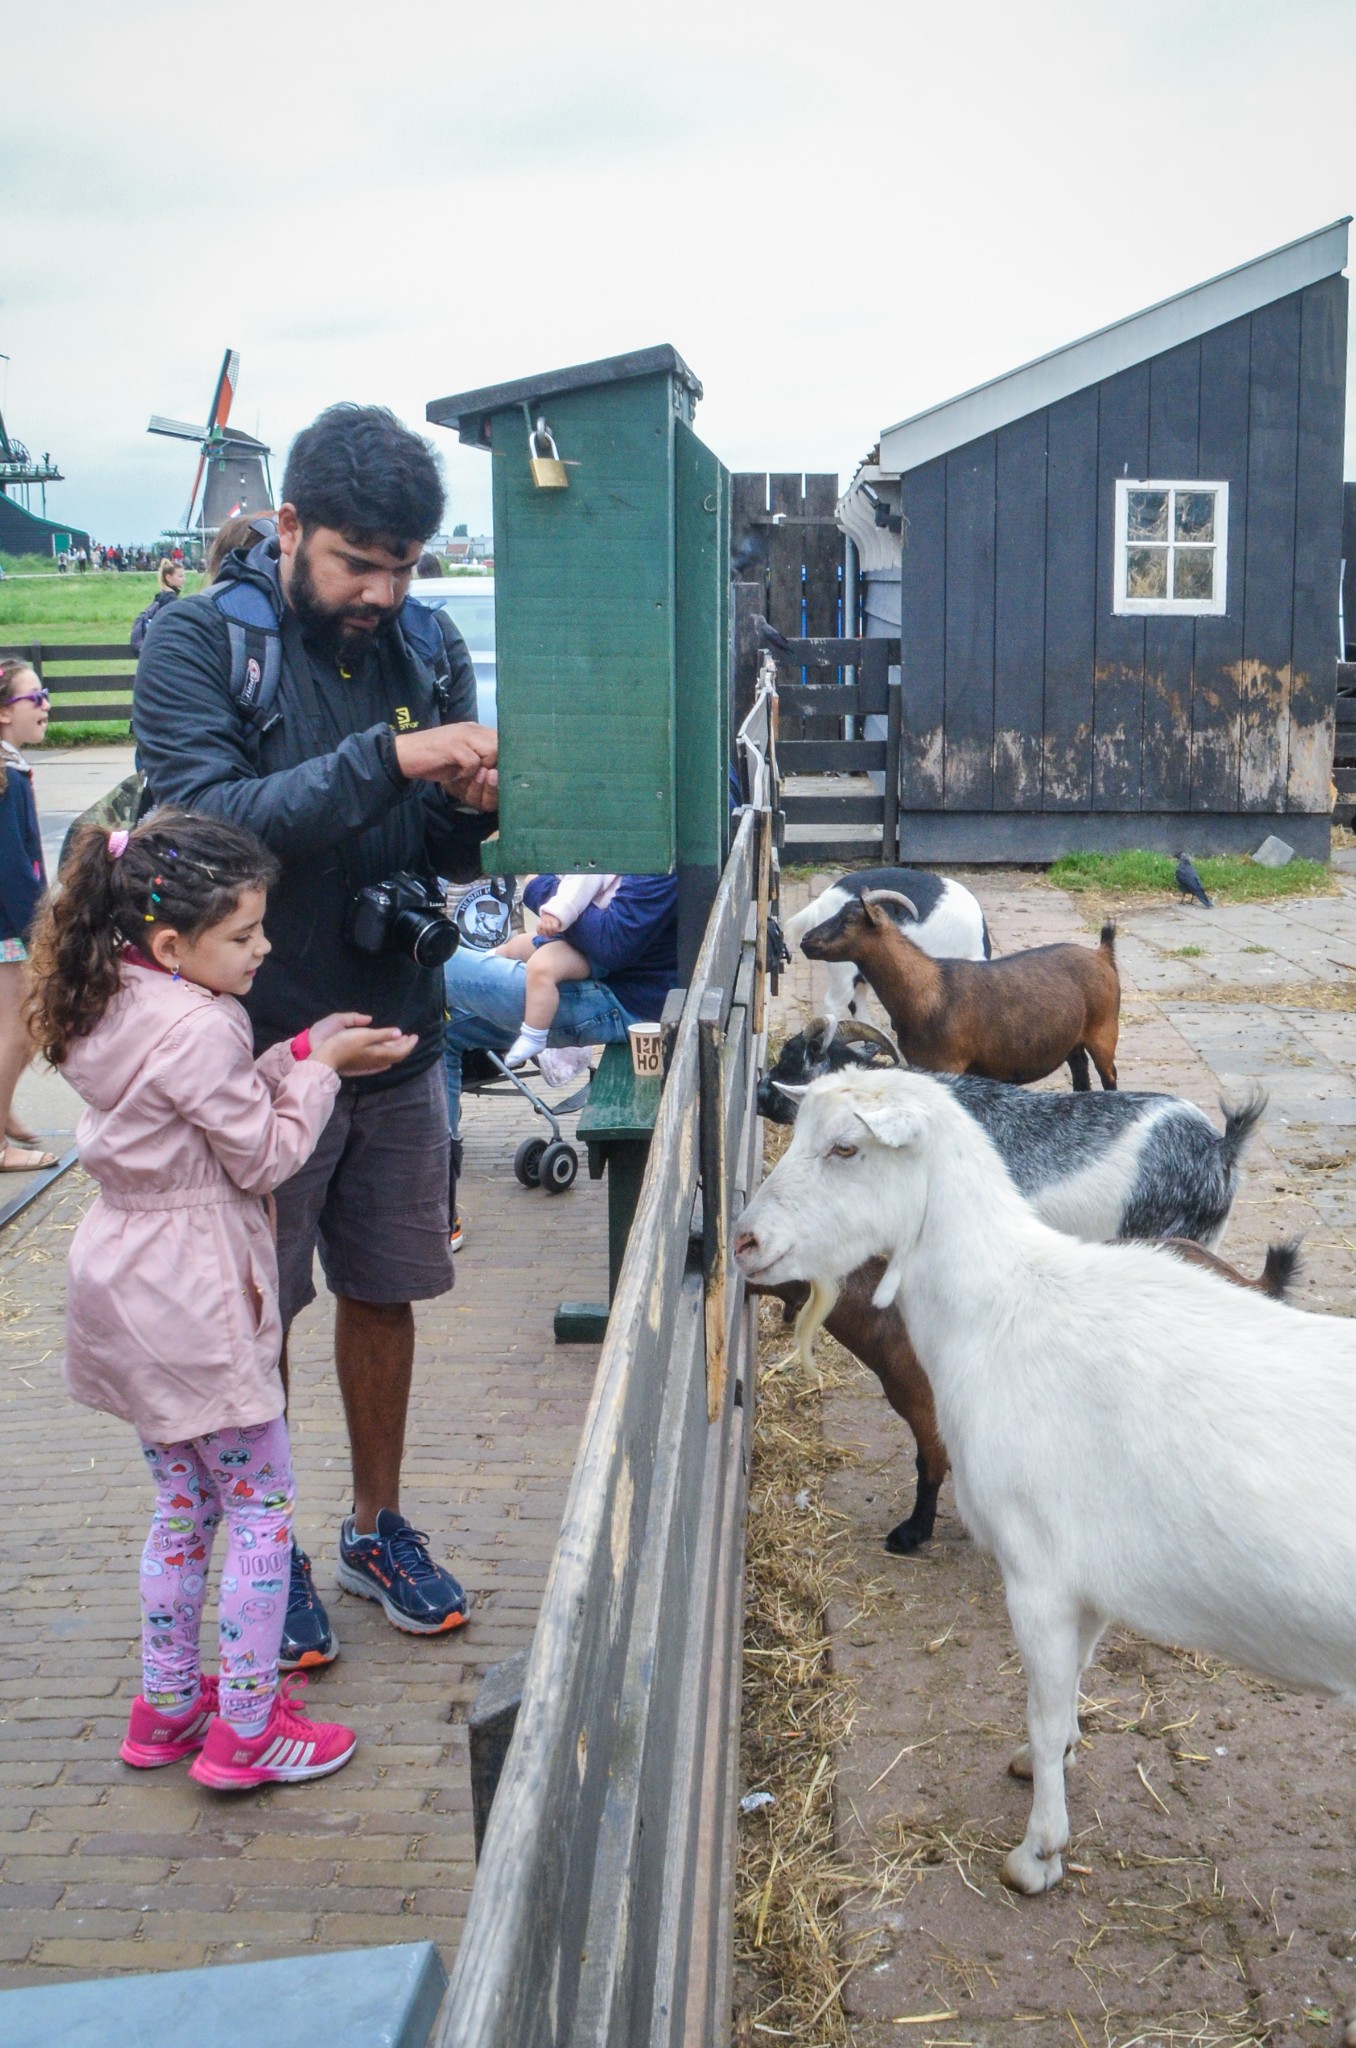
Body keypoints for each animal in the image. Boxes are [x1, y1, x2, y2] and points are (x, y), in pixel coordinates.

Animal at [737, 1064, 1356, 1892]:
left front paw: (1037, 1854)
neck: (1006, 1305)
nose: (744, 1240)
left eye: (845, 1148)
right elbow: (1064, 1703)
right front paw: (1045, 1763)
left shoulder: (1037, 1576)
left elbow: (1039, 1705)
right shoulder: (1087, 1580)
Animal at [802, 892, 1122, 1089]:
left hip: (1104, 1032)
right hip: (1074, 1041)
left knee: (1109, 1076)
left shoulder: (949, 1065)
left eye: (849, 920)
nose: (806, 941)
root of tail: (1102, 954)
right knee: (1081, 1075)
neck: (927, 989)